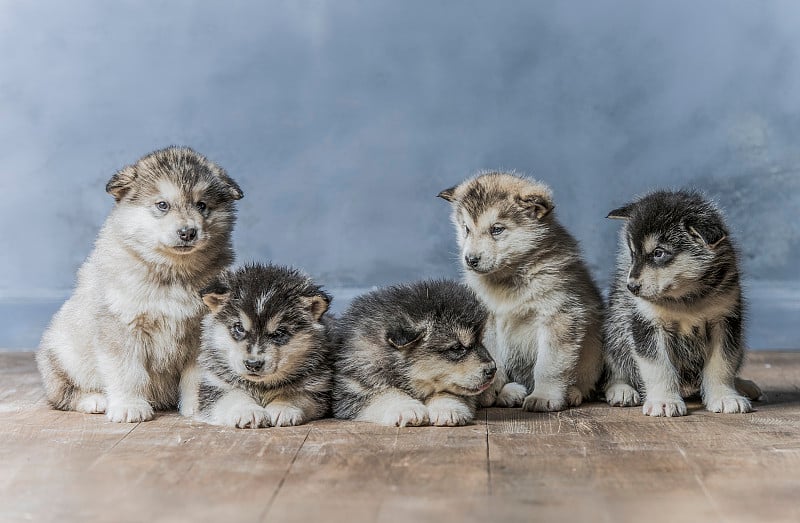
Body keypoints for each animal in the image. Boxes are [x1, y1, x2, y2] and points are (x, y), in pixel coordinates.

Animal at [36, 145, 244, 424]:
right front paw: (129, 406)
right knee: (62, 394)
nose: (188, 232)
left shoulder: (200, 331)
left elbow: (198, 376)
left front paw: (198, 407)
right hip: (62, 353)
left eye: (202, 205)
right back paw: (94, 399)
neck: (172, 273)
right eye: (162, 205)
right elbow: (128, 372)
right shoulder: (122, 328)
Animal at [194, 264, 332, 428]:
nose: (253, 364)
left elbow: (296, 394)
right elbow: (233, 395)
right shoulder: (214, 386)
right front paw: (248, 411)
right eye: (239, 328)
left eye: (279, 332)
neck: (261, 386)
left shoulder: (317, 388)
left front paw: (283, 407)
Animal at [332, 280, 494, 428]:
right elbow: (384, 393)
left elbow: (449, 392)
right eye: (457, 348)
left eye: (481, 341)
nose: (493, 369)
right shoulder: (350, 390)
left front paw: (447, 408)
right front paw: (407, 409)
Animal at [440, 175, 604, 414]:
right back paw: (509, 393)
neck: (509, 279)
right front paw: (489, 392)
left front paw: (544, 396)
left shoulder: (558, 316)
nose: (470, 260)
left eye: (496, 229)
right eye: (466, 229)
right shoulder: (487, 321)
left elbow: (549, 365)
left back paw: (572, 393)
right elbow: (491, 360)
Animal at [608, 189, 764, 418]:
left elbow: (722, 363)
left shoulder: (725, 321)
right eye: (633, 254)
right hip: (615, 326)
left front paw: (725, 396)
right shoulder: (646, 325)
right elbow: (658, 367)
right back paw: (621, 389)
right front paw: (664, 400)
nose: (631, 287)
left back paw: (741, 385)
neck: (686, 300)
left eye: (658, 253)